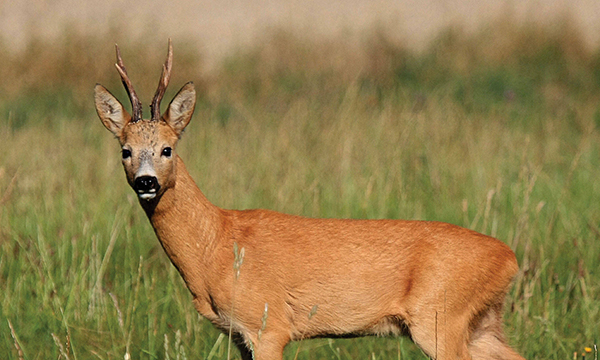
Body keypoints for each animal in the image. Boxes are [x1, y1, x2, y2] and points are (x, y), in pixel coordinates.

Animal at [95, 40, 524, 360]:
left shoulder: (268, 325)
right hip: (479, 324)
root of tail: (509, 257)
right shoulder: (238, 334)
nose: (146, 181)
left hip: (441, 316)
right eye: (125, 151)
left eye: (167, 148)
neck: (216, 243)